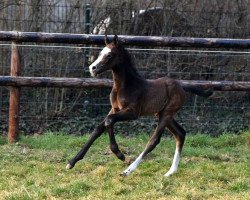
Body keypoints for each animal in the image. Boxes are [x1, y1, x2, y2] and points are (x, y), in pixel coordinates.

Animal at [65, 34, 212, 177]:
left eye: (109, 55)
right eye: (101, 52)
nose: (92, 68)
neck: (125, 86)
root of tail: (181, 85)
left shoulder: (132, 112)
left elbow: (109, 121)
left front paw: (120, 155)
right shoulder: (114, 109)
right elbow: (98, 129)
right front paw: (72, 162)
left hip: (167, 114)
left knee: (154, 140)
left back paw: (128, 171)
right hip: (162, 114)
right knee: (180, 134)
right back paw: (170, 172)